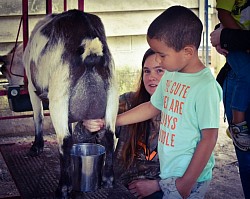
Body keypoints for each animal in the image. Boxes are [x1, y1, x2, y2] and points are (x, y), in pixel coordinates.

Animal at [1, 8, 118, 197]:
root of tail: (90, 49)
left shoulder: (32, 87)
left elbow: (38, 117)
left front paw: (37, 147)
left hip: (59, 97)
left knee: (65, 141)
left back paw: (63, 188)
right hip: (112, 93)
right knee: (109, 135)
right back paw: (108, 180)